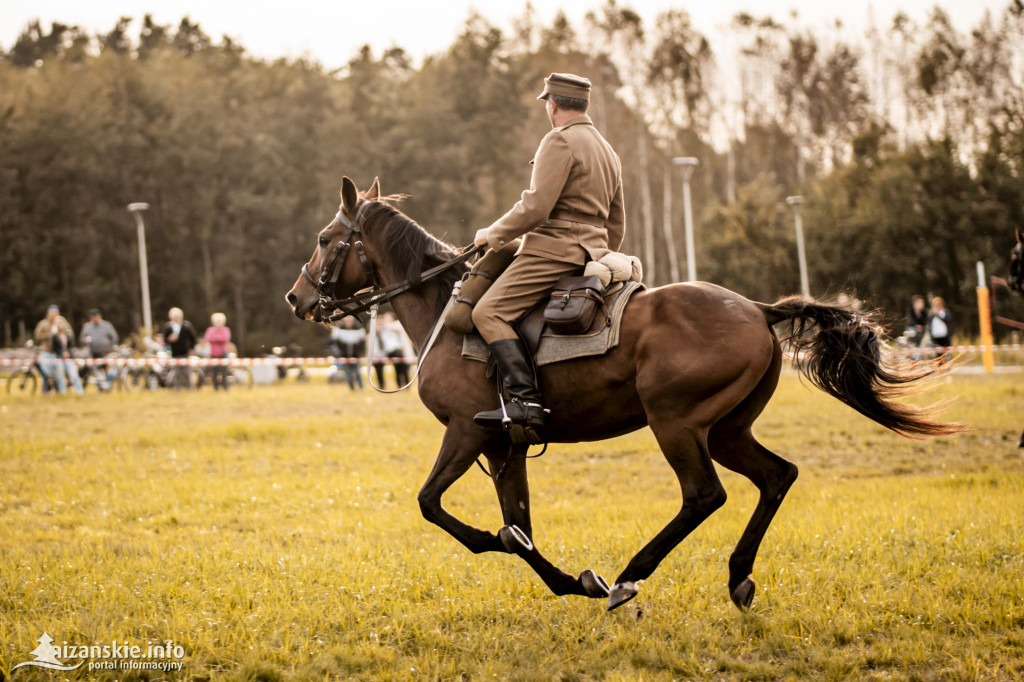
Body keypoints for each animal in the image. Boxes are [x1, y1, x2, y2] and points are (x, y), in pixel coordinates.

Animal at [286, 176, 958, 610]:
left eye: (323, 238)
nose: (297, 297)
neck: (446, 312)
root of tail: (757, 309)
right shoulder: (505, 446)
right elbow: (518, 526)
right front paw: (568, 582)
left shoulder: (467, 433)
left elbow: (439, 508)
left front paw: (556, 570)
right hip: (727, 430)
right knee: (776, 476)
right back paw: (737, 576)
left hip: (677, 425)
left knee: (704, 496)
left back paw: (633, 576)